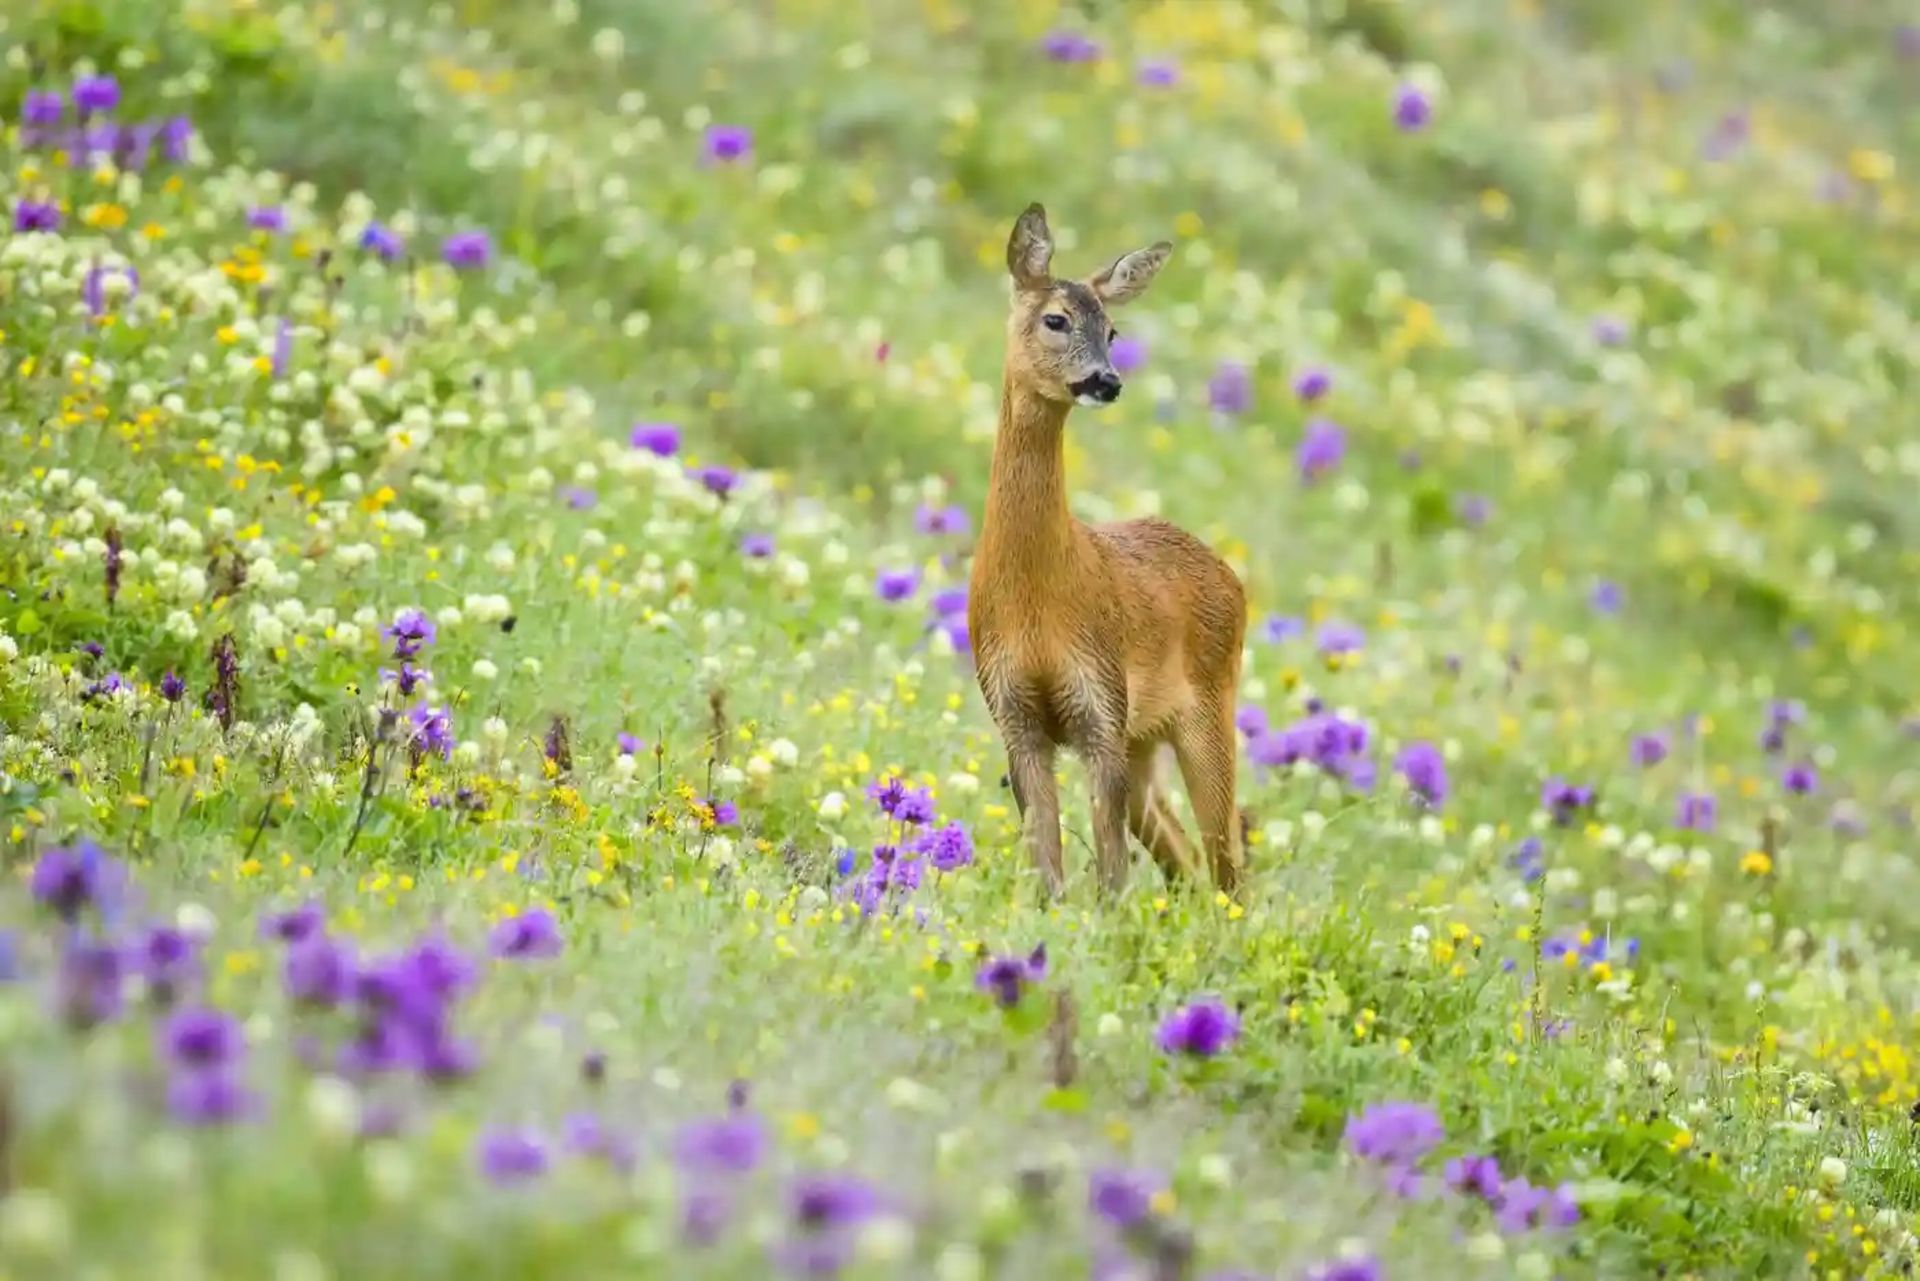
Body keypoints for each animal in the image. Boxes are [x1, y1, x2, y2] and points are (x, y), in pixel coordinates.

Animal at [975, 202, 1244, 902]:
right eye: (1056, 318)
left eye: (1114, 330)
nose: (1106, 380)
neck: (1038, 599)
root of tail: (1232, 577)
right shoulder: (1015, 713)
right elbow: (1048, 869)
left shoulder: (1101, 705)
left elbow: (1112, 876)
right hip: (1146, 741)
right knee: (1186, 858)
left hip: (1209, 709)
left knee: (1229, 866)